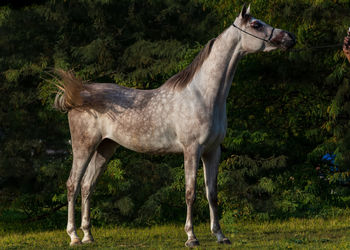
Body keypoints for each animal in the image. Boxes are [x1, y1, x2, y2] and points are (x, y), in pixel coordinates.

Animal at [55, 4, 296, 248]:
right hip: (84, 147)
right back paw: (74, 236)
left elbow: (212, 193)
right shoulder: (192, 149)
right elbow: (191, 192)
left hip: (105, 148)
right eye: (256, 25)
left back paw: (88, 235)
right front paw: (191, 237)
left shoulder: (212, 151)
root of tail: (78, 97)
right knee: (73, 185)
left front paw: (220, 235)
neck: (203, 95)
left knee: (87, 186)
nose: (289, 38)